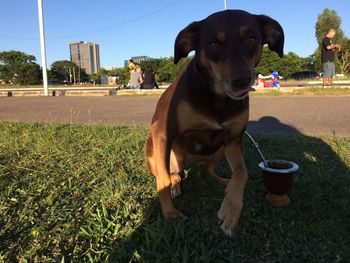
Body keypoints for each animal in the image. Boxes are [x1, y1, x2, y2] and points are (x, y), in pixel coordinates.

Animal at [144, 10, 284, 237]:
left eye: (252, 38)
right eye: (213, 43)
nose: (241, 79)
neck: (218, 98)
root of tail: (191, 162)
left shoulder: (234, 139)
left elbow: (242, 172)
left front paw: (231, 208)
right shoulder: (162, 133)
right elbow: (162, 181)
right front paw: (171, 214)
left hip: (218, 150)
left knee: (210, 172)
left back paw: (224, 183)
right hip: (153, 154)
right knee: (171, 174)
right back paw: (175, 186)